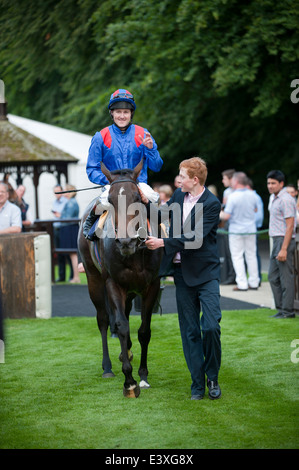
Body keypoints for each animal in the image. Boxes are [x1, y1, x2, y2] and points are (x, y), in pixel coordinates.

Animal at [77, 160, 162, 398]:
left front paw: (143, 375)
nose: (125, 242)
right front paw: (129, 382)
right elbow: (121, 326)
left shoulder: (151, 285)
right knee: (104, 319)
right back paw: (107, 367)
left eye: (136, 197)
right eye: (111, 200)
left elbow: (144, 330)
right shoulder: (113, 284)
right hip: (94, 280)